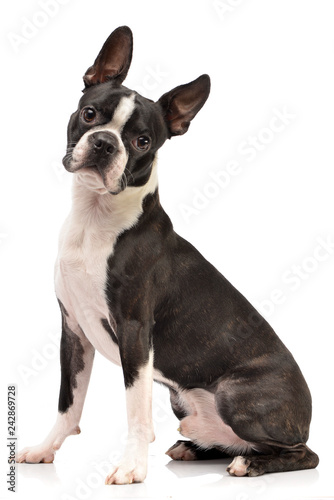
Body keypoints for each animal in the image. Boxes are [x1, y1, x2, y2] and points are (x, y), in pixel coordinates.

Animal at [17, 25, 318, 482]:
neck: (95, 218)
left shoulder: (134, 331)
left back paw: (250, 463)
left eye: (142, 141)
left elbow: (135, 410)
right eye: (89, 114)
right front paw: (45, 448)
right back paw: (195, 448)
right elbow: (69, 403)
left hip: (237, 396)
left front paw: (131, 467)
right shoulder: (74, 331)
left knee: (302, 452)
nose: (104, 143)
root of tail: (308, 412)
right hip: (185, 402)